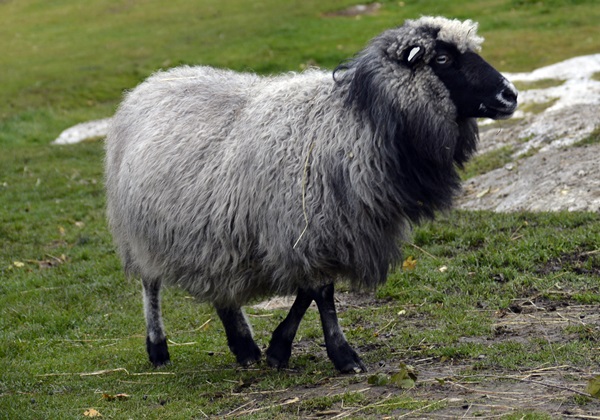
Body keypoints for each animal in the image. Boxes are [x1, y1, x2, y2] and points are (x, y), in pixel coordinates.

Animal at [103, 14, 516, 372]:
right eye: (443, 58)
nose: (509, 95)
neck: (356, 121)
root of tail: (154, 80)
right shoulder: (306, 223)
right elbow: (323, 294)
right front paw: (342, 355)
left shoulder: (323, 229)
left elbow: (309, 292)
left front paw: (278, 349)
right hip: (137, 229)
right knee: (150, 286)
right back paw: (158, 348)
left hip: (212, 231)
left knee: (221, 284)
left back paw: (244, 346)